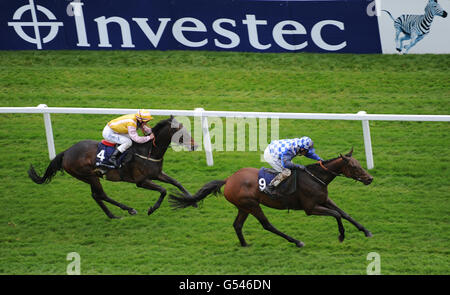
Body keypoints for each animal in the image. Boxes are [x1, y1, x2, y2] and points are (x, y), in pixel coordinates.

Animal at [27, 117, 197, 219]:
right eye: (181, 133)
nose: (194, 146)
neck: (147, 151)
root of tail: (66, 152)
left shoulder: (157, 173)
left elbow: (176, 183)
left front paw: (192, 200)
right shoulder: (141, 181)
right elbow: (163, 190)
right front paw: (152, 209)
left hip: (88, 177)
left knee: (96, 195)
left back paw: (112, 215)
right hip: (89, 175)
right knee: (101, 194)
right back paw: (128, 209)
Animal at [169, 149, 372, 249]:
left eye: (359, 164)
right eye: (354, 167)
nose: (369, 178)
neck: (315, 177)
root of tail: (229, 179)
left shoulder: (324, 200)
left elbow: (344, 214)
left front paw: (366, 231)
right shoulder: (311, 208)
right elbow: (336, 215)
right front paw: (341, 236)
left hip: (243, 207)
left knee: (237, 225)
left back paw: (244, 244)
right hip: (252, 205)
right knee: (267, 225)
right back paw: (296, 241)